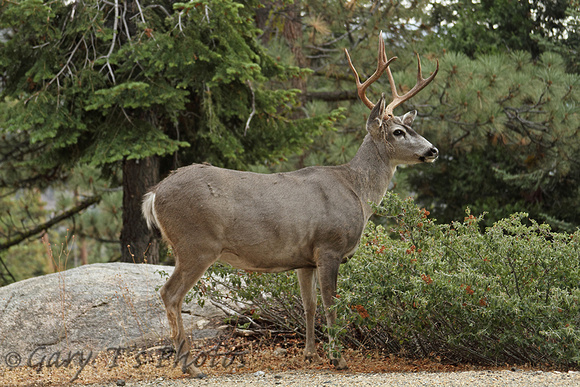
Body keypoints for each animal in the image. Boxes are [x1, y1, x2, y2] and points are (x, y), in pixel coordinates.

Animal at [143, 33, 438, 378]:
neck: (355, 190)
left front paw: (310, 354)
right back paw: (190, 366)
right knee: (170, 294)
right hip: (196, 244)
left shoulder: (304, 259)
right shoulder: (329, 246)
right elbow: (331, 304)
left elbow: (309, 305)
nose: (432, 150)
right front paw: (338, 359)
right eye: (398, 131)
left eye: (411, 127)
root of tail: (155, 195)